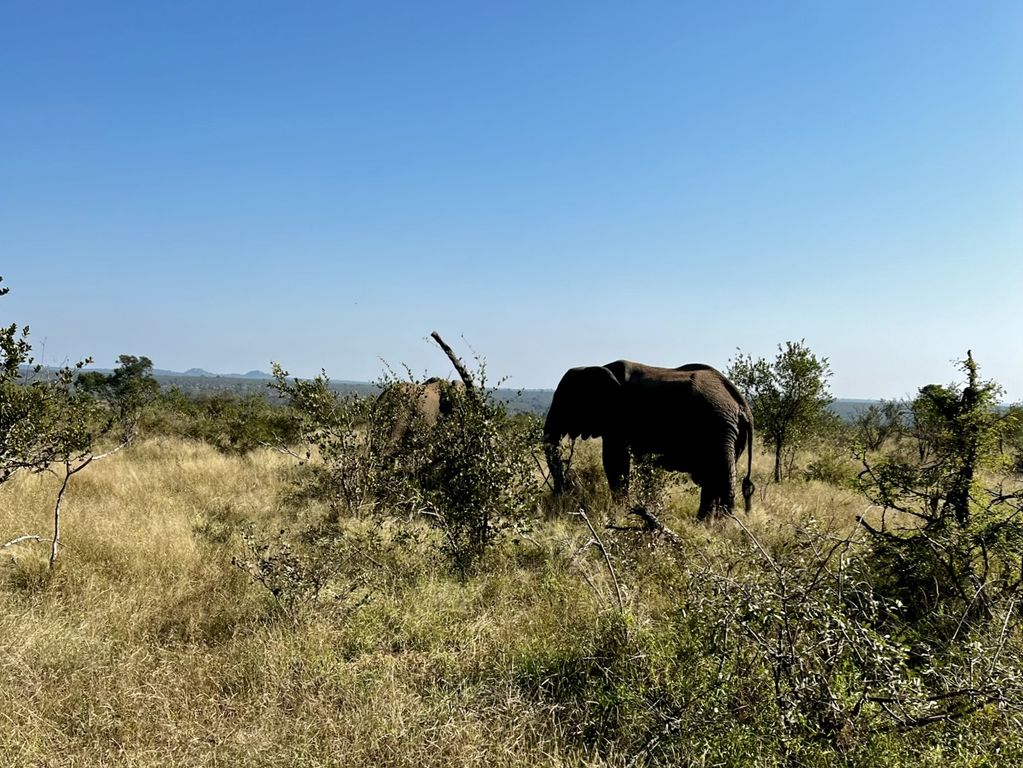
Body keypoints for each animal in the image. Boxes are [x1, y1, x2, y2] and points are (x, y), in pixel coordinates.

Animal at [544, 362, 752, 523]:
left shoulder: (618, 419)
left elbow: (614, 461)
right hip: (727, 432)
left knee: (719, 476)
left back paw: (717, 525)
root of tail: (743, 405)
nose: (566, 490)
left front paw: (623, 511)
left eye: (566, 403)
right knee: (713, 477)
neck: (595, 367)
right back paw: (704, 523)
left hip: (718, 427)